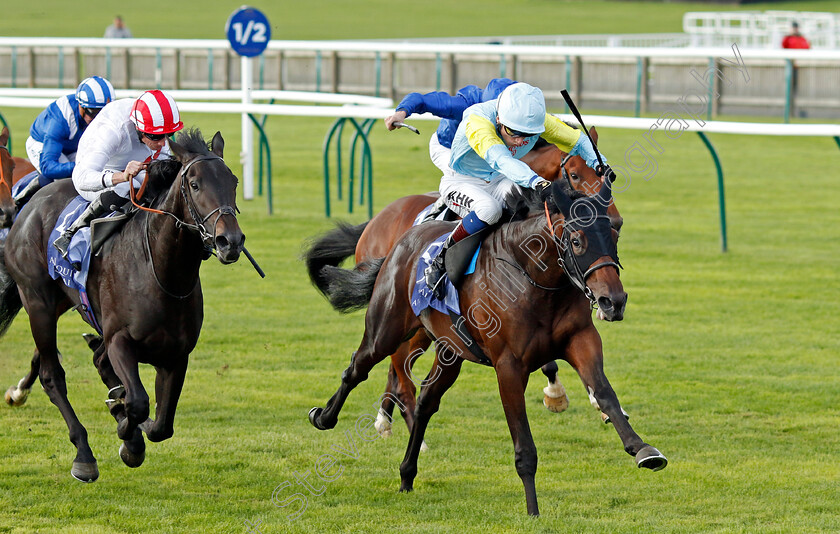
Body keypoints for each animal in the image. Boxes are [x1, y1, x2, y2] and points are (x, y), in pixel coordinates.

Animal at [0, 129, 246, 482]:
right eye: (195, 184)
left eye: (234, 181)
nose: (230, 242)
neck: (162, 273)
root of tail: (28, 204)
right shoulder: (120, 341)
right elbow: (139, 403)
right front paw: (127, 434)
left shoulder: (176, 354)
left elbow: (161, 425)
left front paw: (129, 430)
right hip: (38, 302)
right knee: (52, 375)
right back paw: (83, 454)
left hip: (66, 301)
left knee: (97, 361)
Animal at [306, 129, 620, 440]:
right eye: (575, 174)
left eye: (602, 173)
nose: (615, 220)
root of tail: (375, 222)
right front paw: (558, 395)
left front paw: (588, 401)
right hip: (402, 323)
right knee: (394, 369)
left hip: (427, 330)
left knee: (399, 370)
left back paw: (387, 418)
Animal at [306, 181, 668, 520]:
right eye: (577, 240)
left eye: (614, 234)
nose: (613, 301)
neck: (534, 276)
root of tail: (402, 239)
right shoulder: (509, 366)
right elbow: (524, 446)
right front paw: (533, 510)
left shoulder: (581, 340)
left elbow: (605, 393)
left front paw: (643, 449)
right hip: (387, 330)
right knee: (357, 368)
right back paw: (324, 417)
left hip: (450, 350)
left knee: (425, 401)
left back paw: (407, 475)